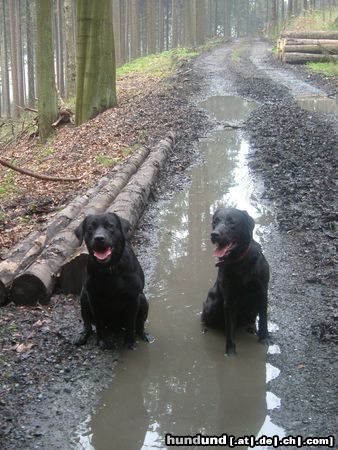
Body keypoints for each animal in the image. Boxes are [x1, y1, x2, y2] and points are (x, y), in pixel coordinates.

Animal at [74, 213, 150, 350]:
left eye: (110, 226)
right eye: (90, 228)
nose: (99, 238)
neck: (109, 268)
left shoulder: (133, 298)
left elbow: (131, 323)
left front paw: (129, 341)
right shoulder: (93, 299)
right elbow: (98, 323)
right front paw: (101, 341)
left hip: (143, 300)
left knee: (139, 324)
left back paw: (143, 334)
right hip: (84, 298)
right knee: (87, 324)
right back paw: (82, 336)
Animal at [202, 206, 270, 356]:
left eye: (232, 221)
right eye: (215, 221)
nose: (214, 234)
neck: (240, 262)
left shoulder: (263, 292)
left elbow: (263, 319)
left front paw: (264, 339)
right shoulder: (229, 300)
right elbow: (230, 330)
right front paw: (230, 353)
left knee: (251, 319)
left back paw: (251, 328)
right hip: (212, 304)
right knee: (205, 316)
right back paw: (204, 328)